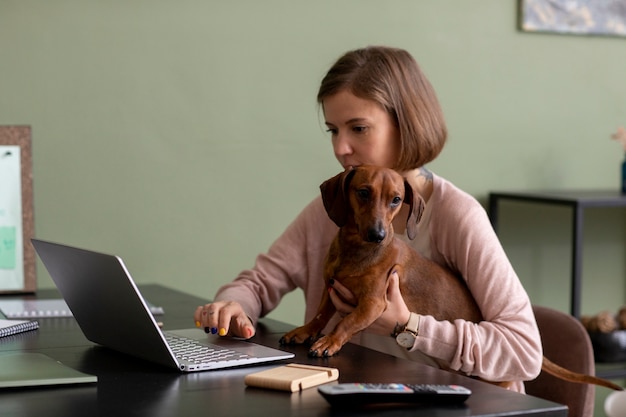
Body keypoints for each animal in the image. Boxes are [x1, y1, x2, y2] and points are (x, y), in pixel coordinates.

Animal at [280, 165, 620, 390]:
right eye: (363, 193)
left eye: (395, 199)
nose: (378, 235)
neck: (357, 251)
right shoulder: (330, 286)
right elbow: (320, 314)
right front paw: (304, 331)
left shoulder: (374, 303)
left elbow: (347, 322)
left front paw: (330, 341)